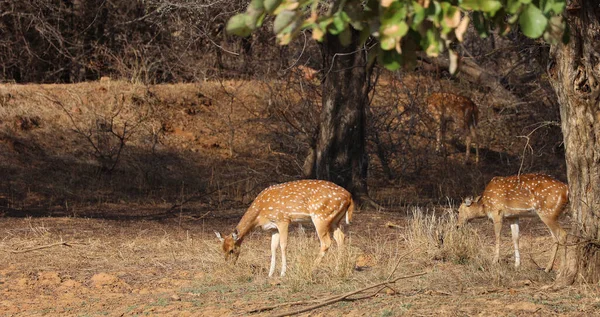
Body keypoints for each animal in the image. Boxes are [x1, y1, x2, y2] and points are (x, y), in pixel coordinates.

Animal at [216, 179, 354, 276]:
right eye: (222, 249)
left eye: (232, 250)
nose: (228, 265)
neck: (260, 214)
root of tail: (349, 196)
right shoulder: (273, 228)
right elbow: (272, 247)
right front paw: (270, 273)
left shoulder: (282, 220)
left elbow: (283, 245)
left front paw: (283, 272)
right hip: (334, 220)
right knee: (341, 237)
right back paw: (337, 269)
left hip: (321, 217)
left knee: (326, 242)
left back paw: (311, 268)